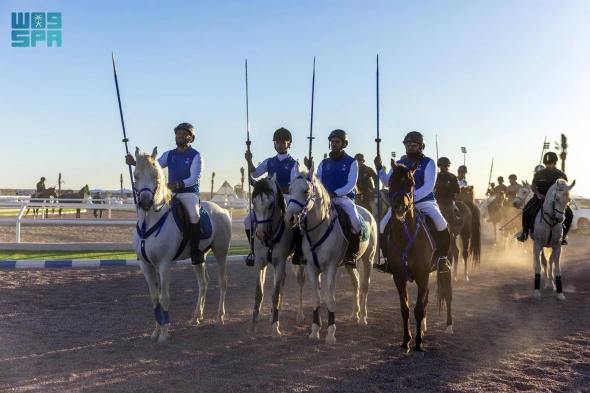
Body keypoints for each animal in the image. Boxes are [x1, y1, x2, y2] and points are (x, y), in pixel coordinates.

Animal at [133, 149, 232, 342]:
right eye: (136, 175)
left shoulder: (164, 264)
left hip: (221, 252)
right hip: (199, 257)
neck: (149, 223)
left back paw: (219, 317)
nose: (146, 202)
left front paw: (164, 334)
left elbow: (164, 297)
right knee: (203, 283)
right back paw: (197, 317)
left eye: (156, 175)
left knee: (223, 282)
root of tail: (222, 210)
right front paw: (155, 331)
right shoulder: (145, 265)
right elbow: (154, 298)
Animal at [247, 176, 308, 336]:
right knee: (282, 283)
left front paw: (275, 327)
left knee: (300, 282)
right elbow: (259, 292)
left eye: (270, 205)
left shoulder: (280, 262)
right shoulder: (260, 263)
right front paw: (253, 325)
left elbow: (275, 294)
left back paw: (300, 314)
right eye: (254, 203)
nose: (260, 234)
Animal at [286, 167, 380, 344]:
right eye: (289, 190)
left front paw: (330, 334)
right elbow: (316, 299)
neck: (318, 230)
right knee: (356, 283)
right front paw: (315, 330)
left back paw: (362, 318)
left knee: (365, 285)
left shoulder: (330, 269)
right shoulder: (312, 268)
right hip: (350, 263)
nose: (289, 218)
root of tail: (368, 213)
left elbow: (331, 299)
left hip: (368, 260)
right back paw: (354, 314)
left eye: (306, 191)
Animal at [382, 161, 456, 350]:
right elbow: (406, 308)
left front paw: (418, 343)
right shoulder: (399, 277)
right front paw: (406, 340)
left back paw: (448, 326)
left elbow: (418, 309)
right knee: (427, 297)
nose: (399, 207)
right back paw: (422, 329)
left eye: (411, 183)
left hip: (445, 268)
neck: (404, 237)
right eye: (391, 181)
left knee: (447, 294)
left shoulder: (422, 275)